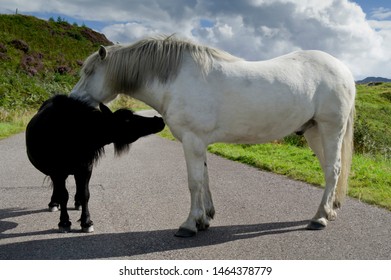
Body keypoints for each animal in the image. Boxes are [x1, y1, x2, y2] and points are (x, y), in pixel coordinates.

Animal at [25, 95, 164, 233]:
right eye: (127, 120)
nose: (159, 120)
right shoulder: (57, 171)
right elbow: (64, 195)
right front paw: (64, 222)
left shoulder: (86, 168)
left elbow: (85, 194)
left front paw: (86, 221)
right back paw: (54, 203)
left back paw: (77, 203)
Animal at [69, 34, 356, 236]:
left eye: (89, 72)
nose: (72, 101)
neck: (177, 79)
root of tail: (343, 69)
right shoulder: (198, 143)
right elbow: (205, 179)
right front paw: (204, 218)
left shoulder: (192, 141)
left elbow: (194, 182)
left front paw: (188, 224)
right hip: (314, 131)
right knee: (331, 170)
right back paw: (329, 211)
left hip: (331, 128)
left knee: (333, 170)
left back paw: (319, 218)